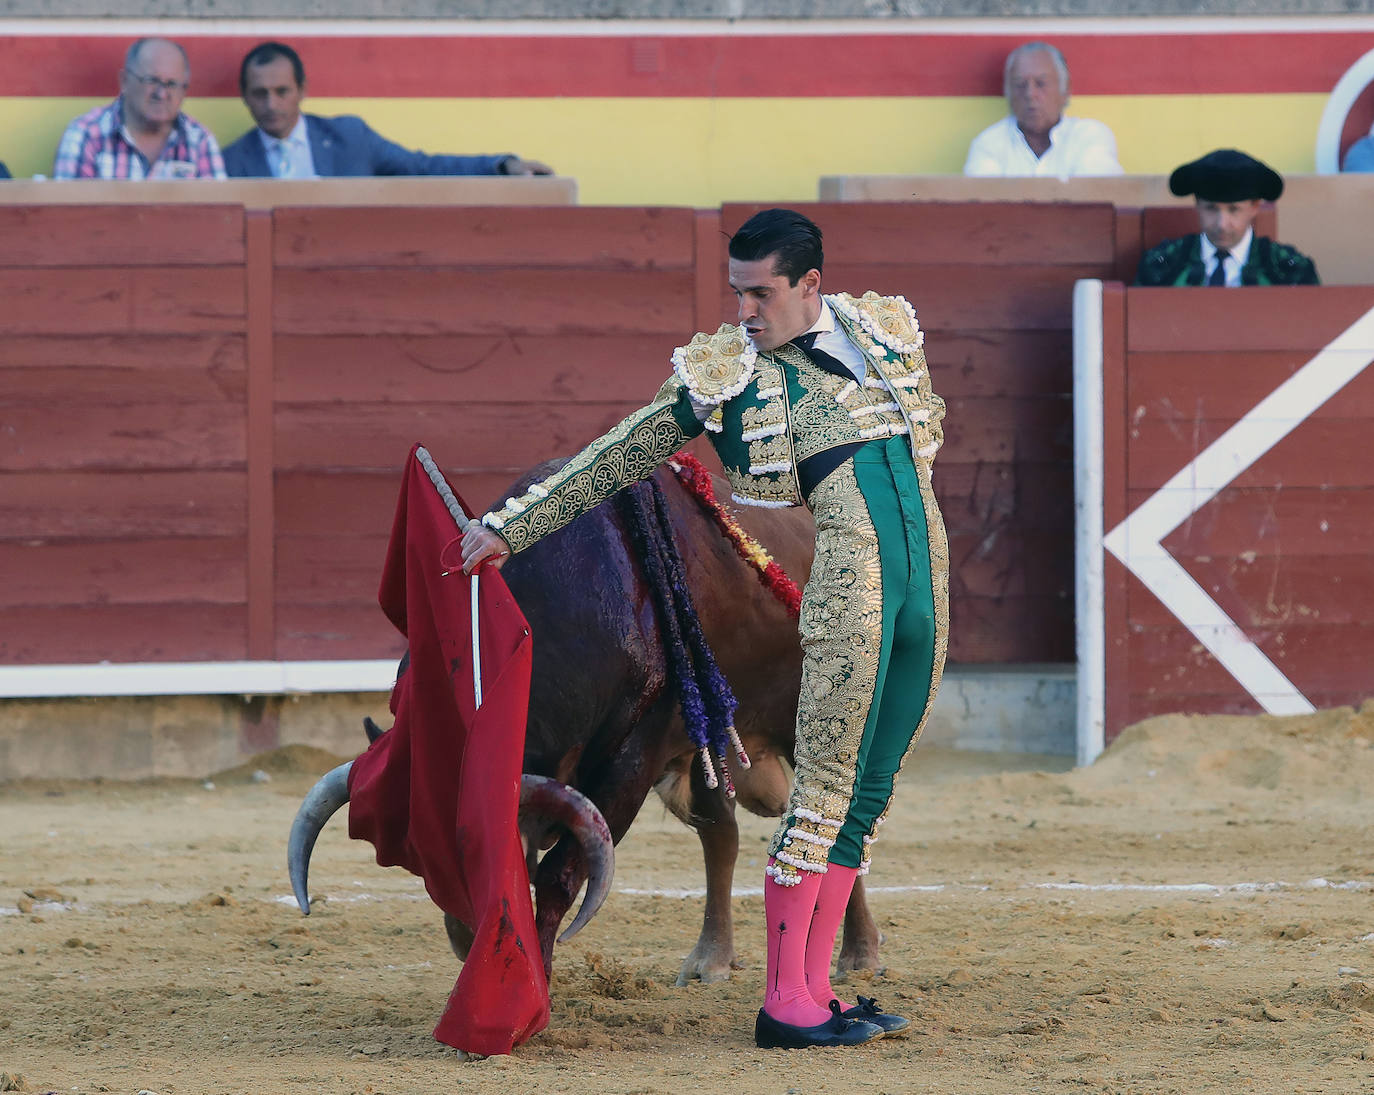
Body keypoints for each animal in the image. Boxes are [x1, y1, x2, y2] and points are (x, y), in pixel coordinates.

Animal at [294, 458, 884, 983]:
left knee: (826, 819)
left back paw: (858, 954)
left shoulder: (630, 764)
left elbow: (559, 873)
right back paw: (711, 960)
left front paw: (538, 978)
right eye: (420, 860)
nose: (464, 941)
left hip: (811, 720)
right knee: (724, 833)